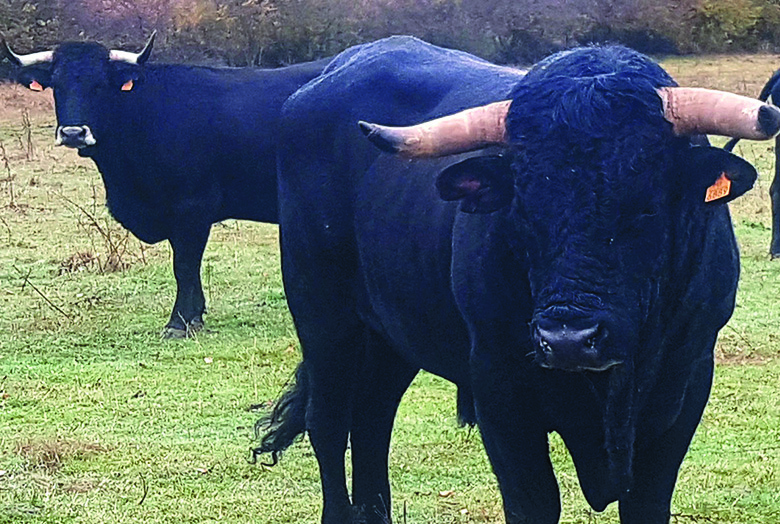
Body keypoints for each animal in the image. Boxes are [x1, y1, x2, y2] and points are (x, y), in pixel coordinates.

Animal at [1, 33, 328, 336]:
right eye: (57, 85)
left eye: (99, 85)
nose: (73, 133)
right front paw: (195, 315)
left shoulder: (192, 207)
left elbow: (184, 265)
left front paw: (178, 322)